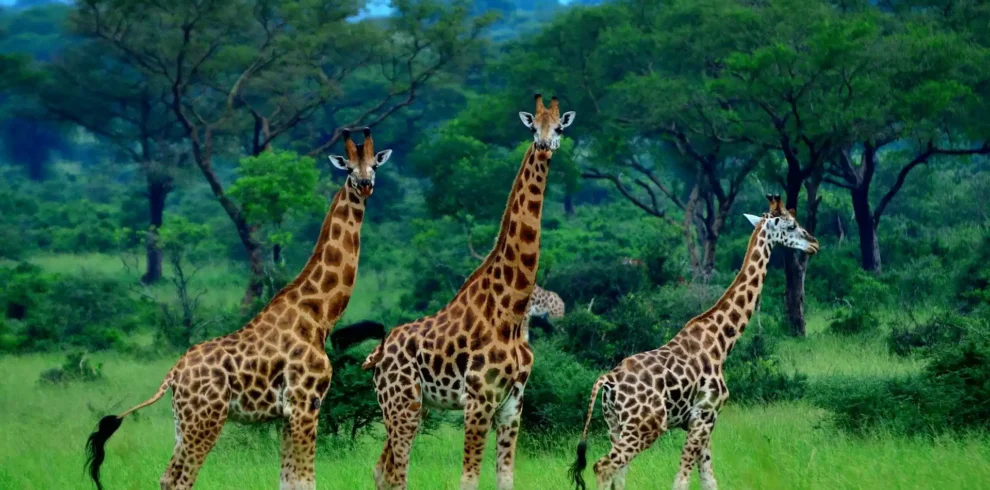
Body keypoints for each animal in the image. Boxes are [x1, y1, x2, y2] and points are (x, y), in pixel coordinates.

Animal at [84, 128, 392, 490]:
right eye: (349, 169)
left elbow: (288, 480)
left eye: (374, 164)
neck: (318, 314)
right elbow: (305, 480)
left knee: (166, 477)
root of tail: (173, 375)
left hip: (183, 422)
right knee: (180, 479)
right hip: (205, 419)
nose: (365, 184)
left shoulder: (289, 412)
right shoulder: (306, 402)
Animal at [360, 94, 576, 490]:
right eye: (533, 128)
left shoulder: (513, 403)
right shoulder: (479, 399)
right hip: (402, 404)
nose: (544, 146)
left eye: (558, 127)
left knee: (382, 470)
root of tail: (377, 354)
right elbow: (469, 478)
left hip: (407, 405)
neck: (511, 309)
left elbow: (506, 477)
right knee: (397, 472)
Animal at [569, 194, 819, 490]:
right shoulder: (705, 414)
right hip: (644, 427)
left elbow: (709, 480)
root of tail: (607, 381)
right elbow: (682, 481)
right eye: (792, 226)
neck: (721, 342)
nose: (814, 243)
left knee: (617, 474)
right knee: (603, 466)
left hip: (615, 425)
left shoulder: (702, 420)